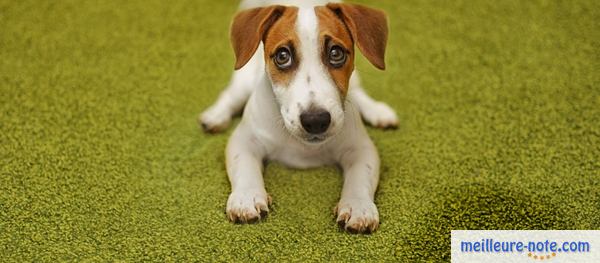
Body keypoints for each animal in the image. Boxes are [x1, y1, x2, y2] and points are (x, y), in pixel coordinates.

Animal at [200, 0, 398, 235]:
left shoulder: (361, 148)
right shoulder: (244, 140)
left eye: (336, 53)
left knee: (359, 94)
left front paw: (358, 205)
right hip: (243, 81)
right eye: (282, 56)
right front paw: (246, 196)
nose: (316, 121)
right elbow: (245, 167)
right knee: (229, 96)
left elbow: (361, 176)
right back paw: (215, 116)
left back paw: (378, 112)